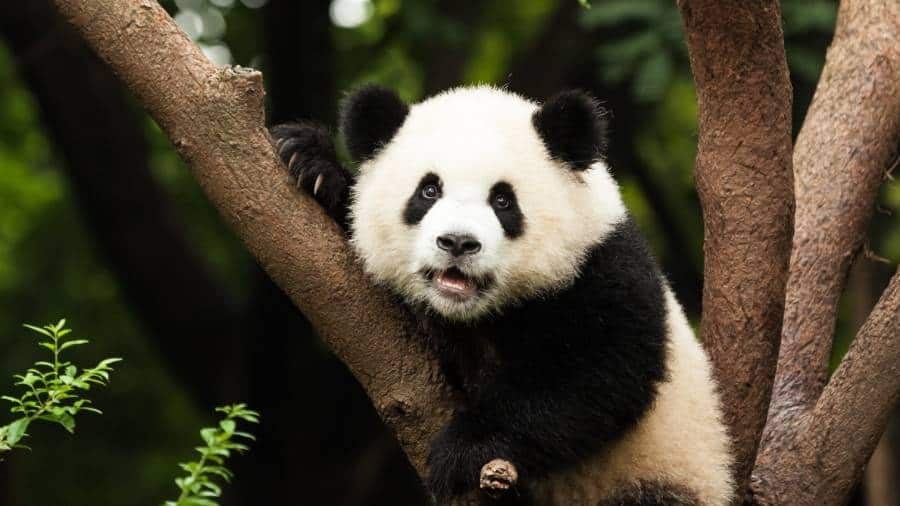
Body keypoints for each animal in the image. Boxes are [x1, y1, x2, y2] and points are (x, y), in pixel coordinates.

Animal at [270, 85, 736, 504]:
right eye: (428, 191)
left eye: (502, 200)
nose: (458, 242)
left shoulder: (602, 268)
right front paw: (310, 162)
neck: (477, 313)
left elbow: (598, 374)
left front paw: (462, 452)